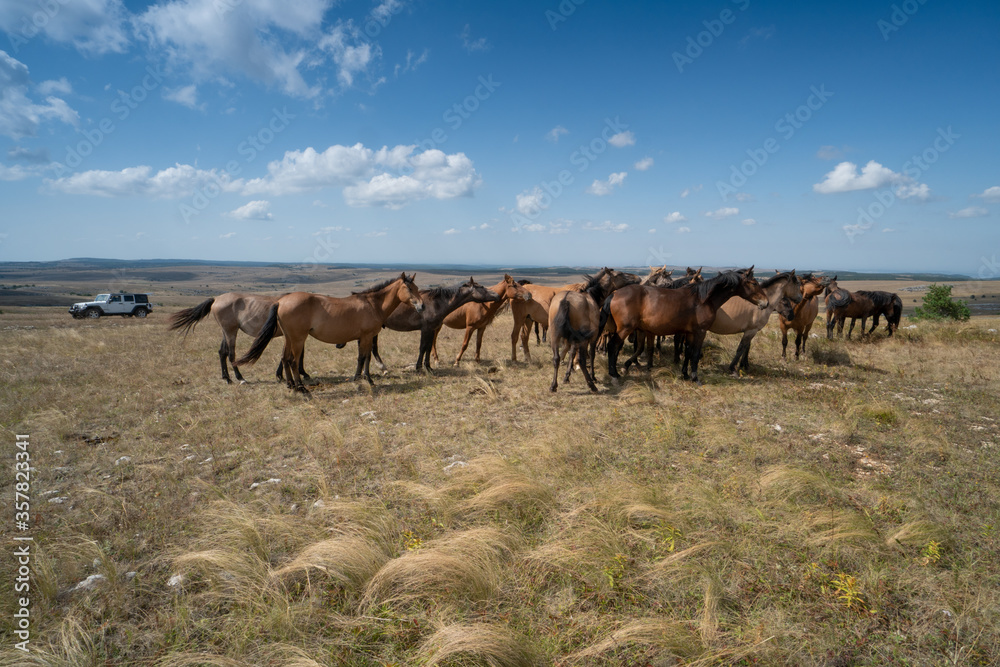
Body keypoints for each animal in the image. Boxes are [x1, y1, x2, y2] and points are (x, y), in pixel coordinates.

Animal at [168, 293, 306, 384]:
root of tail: (216, 299)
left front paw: (281, 375)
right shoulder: (295, 335)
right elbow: (299, 354)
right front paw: (302, 373)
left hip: (226, 332)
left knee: (222, 352)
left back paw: (227, 378)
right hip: (231, 332)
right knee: (231, 354)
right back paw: (240, 378)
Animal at [235, 273, 423, 393]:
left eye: (417, 287)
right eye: (409, 288)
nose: (421, 306)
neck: (372, 304)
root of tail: (281, 301)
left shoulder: (363, 338)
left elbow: (361, 357)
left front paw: (357, 377)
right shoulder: (367, 336)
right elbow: (366, 357)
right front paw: (368, 379)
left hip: (289, 338)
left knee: (285, 358)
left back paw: (291, 385)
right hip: (298, 339)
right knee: (293, 361)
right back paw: (301, 388)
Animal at [369, 278, 500, 373]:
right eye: (481, 287)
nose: (497, 295)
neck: (436, 304)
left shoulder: (432, 329)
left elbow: (428, 347)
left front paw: (428, 367)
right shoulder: (425, 329)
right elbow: (422, 347)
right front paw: (419, 367)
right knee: (374, 347)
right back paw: (382, 368)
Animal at [599, 267, 768, 384]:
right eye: (754, 283)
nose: (765, 303)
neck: (702, 300)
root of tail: (614, 293)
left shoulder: (690, 332)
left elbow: (687, 352)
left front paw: (685, 374)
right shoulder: (701, 332)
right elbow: (695, 354)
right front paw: (695, 378)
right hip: (625, 329)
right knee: (613, 346)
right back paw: (614, 375)